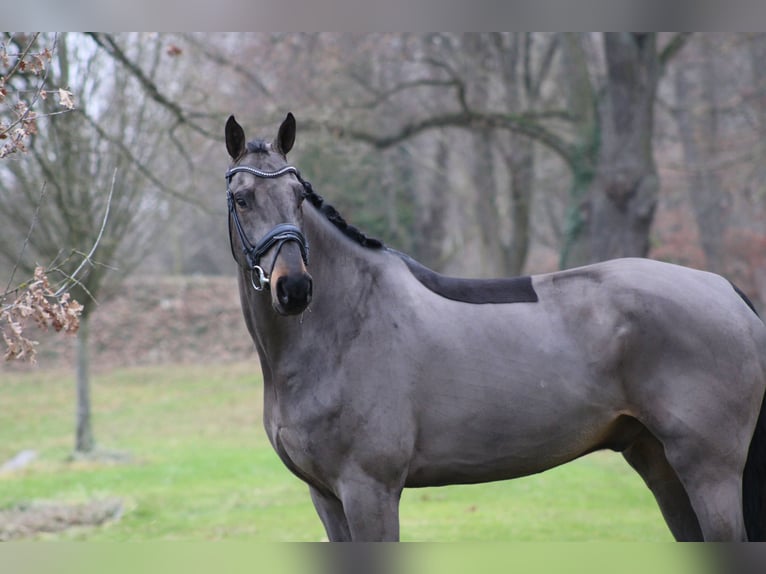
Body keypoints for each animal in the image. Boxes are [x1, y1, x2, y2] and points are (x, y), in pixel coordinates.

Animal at [225, 113, 766, 544]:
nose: (294, 288)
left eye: (298, 196)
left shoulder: (368, 489)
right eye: (242, 199)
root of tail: (727, 291)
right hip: (659, 463)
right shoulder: (326, 496)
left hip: (709, 471)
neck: (345, 323)